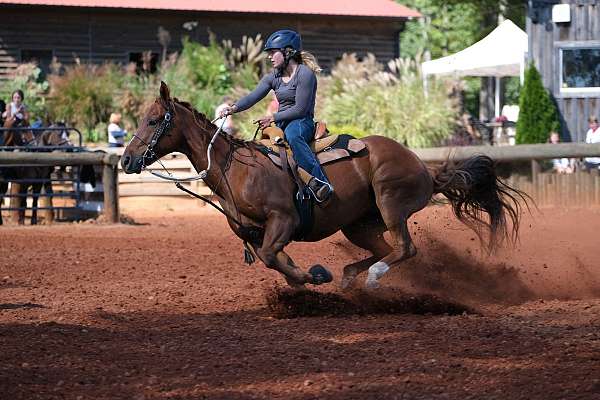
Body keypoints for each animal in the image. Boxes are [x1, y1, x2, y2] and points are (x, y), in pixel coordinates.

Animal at [122, 83, 524, 290]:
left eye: (154, 120)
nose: (126, 160)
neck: (237, 169)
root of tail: (424, 166)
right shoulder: (256, 234)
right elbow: (274, 260)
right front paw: (311, 278)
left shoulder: (282, 221)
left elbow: (272, 257)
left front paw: (314, 275)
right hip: (358, 224)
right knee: (384, 248)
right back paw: (348, 277)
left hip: (391, 203)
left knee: (405, 248)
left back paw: (371, 279)